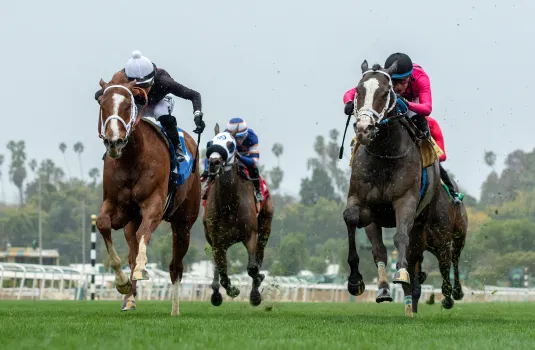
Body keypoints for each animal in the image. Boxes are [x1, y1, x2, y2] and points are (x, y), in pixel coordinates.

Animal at [95, 72, 202, 316]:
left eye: (128, 105)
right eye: (102, 104)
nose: (113, 141)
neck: (133, 160)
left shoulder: (154, 204)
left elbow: (145, 233)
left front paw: (142, 269)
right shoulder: (117, 206)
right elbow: (103, 224)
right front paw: (122, 283)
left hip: (184, 223)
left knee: (175, 266)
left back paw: (175, 309)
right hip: (131, 223)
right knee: (132, 250)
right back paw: (130, 300)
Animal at [203, 123, 274, 306]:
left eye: (230, 145)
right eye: (210, 143)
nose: (214, 162)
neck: (229, 203)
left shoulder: (250, 235)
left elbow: (253, 268)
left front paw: (256, 291)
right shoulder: (217, 241)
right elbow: (222, 270)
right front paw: (230, 290)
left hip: (265, 228)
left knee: (259, 255)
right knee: (218, 267)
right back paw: (216, 292)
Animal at [346, 60, 442, 318]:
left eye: (385, 92)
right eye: (358, 90)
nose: (364, 128)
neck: (384, 153)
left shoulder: (405, 200)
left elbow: (400, 237)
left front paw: (401, 273)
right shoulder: (360, 199)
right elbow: (352, 218)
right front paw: (355, 280)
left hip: (422, 221)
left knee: (411, 251)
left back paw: (409, 302)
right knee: (379, 250)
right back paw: (383, 290)